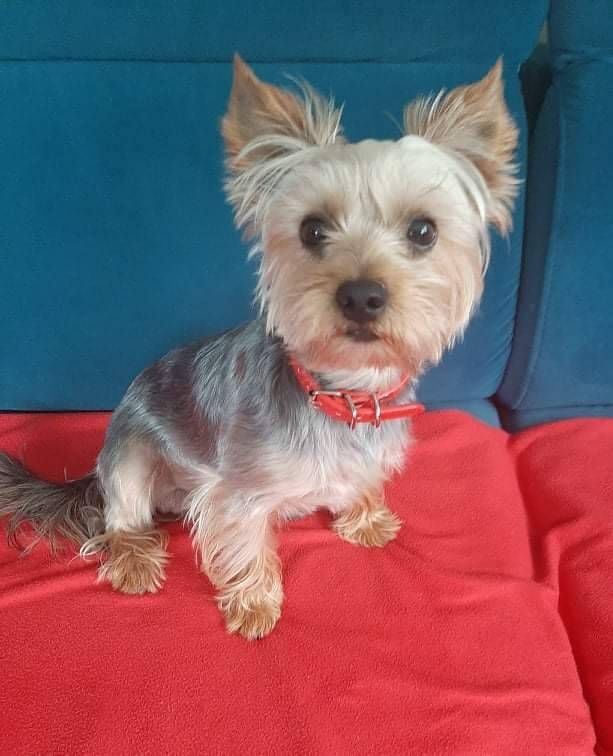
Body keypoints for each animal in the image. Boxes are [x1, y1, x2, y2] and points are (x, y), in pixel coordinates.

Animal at [0, 55, 518, 639]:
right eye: (312, 229)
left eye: (424, 231)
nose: (361, 295)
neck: (344, 395)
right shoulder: (236, 489)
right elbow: (245, 540)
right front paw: (253, 604)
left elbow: (359, 481)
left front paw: (365, 516)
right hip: (130, 454)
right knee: (119, 520)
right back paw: (134, 559)